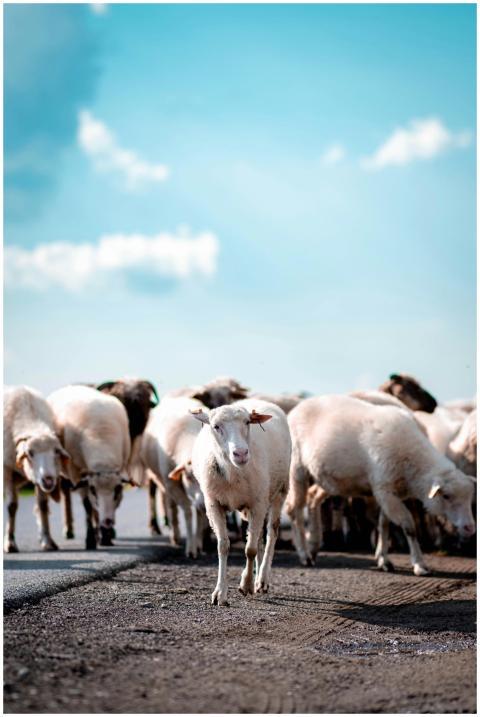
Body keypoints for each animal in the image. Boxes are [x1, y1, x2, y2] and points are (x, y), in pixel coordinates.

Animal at [4, 386, 70, 553]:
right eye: (30, 453)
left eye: (56, 451)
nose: (49, 480)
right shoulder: (6, 469)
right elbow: (11, 506)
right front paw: (9, 542)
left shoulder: (39, 481)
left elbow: (42, 505)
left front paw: (47, 540)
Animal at [48, 385, 131, 549]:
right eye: (93, 489)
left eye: (118, 489)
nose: (107, 522)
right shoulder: (78, 474)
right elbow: (87, 506)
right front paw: (90, 540)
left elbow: (107, 507)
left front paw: (106, 537)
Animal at [140, 396, 205, 558]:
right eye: (188, 477)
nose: (203, 504)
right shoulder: (172, 485)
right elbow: (187, 512)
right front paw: (191, 548)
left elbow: (200, 515)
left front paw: (198, 543)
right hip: (162, 481)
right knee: (172, 507)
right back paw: (174, 536)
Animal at [191, 398, 291, 605]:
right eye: (216, 426)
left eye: (247, 423)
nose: (241, 453)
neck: (233, 473)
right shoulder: (213, 504)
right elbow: (223, 546)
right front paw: (220, 593)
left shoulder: (258, 503)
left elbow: (250, 549)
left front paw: (246, 585)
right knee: (259, 537)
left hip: (280, 490)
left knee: (271, 533)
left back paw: (261, 580)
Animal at [286, 395, 475, 575]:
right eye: (446, 496)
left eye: (469, 498)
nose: (470, 527)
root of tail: (299, 407)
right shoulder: (385, 490)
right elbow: (409, 526)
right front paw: (419, 564)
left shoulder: (390, 492)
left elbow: (384, 524)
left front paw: (383, 559)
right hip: (297, 466)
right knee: (295, 508)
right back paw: (304, 554)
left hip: (329, 478)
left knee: (312, 498)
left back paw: (313, 546)